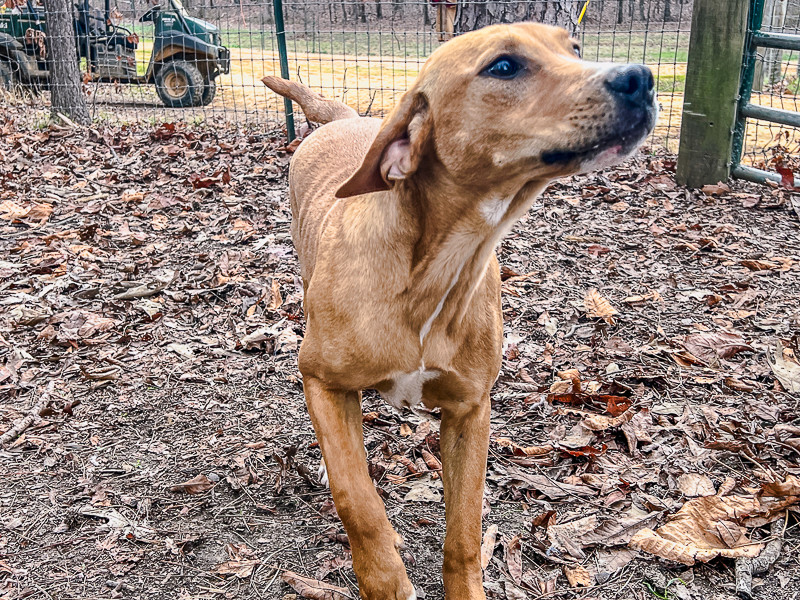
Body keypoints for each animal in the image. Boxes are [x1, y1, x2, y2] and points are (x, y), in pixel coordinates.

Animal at [266, 22, 652, 600]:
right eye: (504, 66)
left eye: (575, 48)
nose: (641, 77)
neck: (433, 272)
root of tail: (346, 119)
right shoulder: (322, 382)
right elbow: (356, 497)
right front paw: (385, 580)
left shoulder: (471, 410)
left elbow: (466, 527)